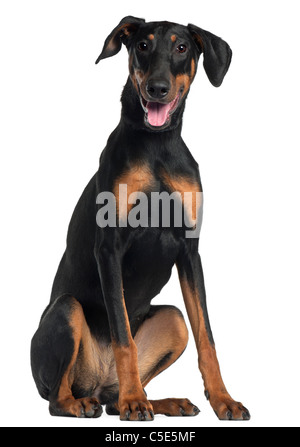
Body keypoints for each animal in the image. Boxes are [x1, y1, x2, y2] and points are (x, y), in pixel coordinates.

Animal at [31, 15, 251, 422]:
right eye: (142, 45)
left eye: (182, 47)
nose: (157, 88)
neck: (157, 145)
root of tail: (98, 384)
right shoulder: (110, 249)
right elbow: (123, 337)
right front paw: (135, 400)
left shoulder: (190, 251)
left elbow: (207, 338)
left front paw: (223, 400)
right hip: (66, 311)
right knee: (57, 397)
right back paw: (97, 402)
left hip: (174, 321)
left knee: (114, 397)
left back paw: (163, 402)